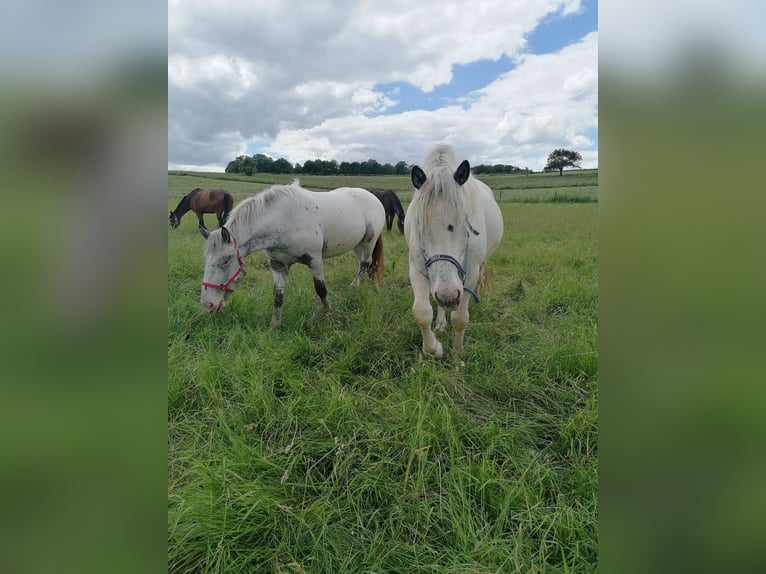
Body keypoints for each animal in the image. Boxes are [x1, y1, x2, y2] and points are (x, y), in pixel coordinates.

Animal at [201, 180, 388, 328]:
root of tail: (374, 197)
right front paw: (274, 325)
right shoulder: (278, 264)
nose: (208, 304)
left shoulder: (314, 260)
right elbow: (278, 296)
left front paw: (329, 314)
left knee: (366, 264)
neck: (284, 220)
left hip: (369, 242)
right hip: (357, 245)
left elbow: (321, 290)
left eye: (226, 260)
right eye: (205, 260)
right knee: (366, 266)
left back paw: (361, 287)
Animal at [404, 145, 508, 360]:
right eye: (418, 224)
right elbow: (421, 312)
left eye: (466, 224)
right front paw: (434, 348)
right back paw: (441, 322)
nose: (448, 296)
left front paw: (457, 357)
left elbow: (460, 319)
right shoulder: (417, 270)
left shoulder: (469, 276)